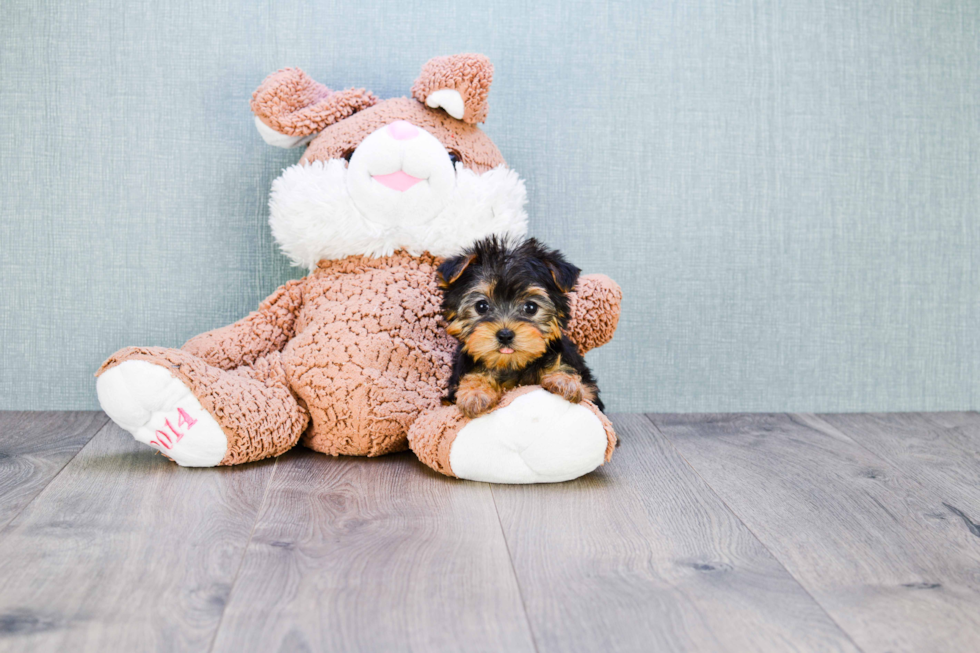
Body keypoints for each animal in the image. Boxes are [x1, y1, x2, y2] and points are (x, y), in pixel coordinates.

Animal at [440, 236, 600, 418]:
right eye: (481, 306)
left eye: (531, 307)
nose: (505, 335)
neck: (512, 365)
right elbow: (473, 376)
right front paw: (475, 393)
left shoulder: (590, 390)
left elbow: (586, 394)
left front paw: (564, 380)